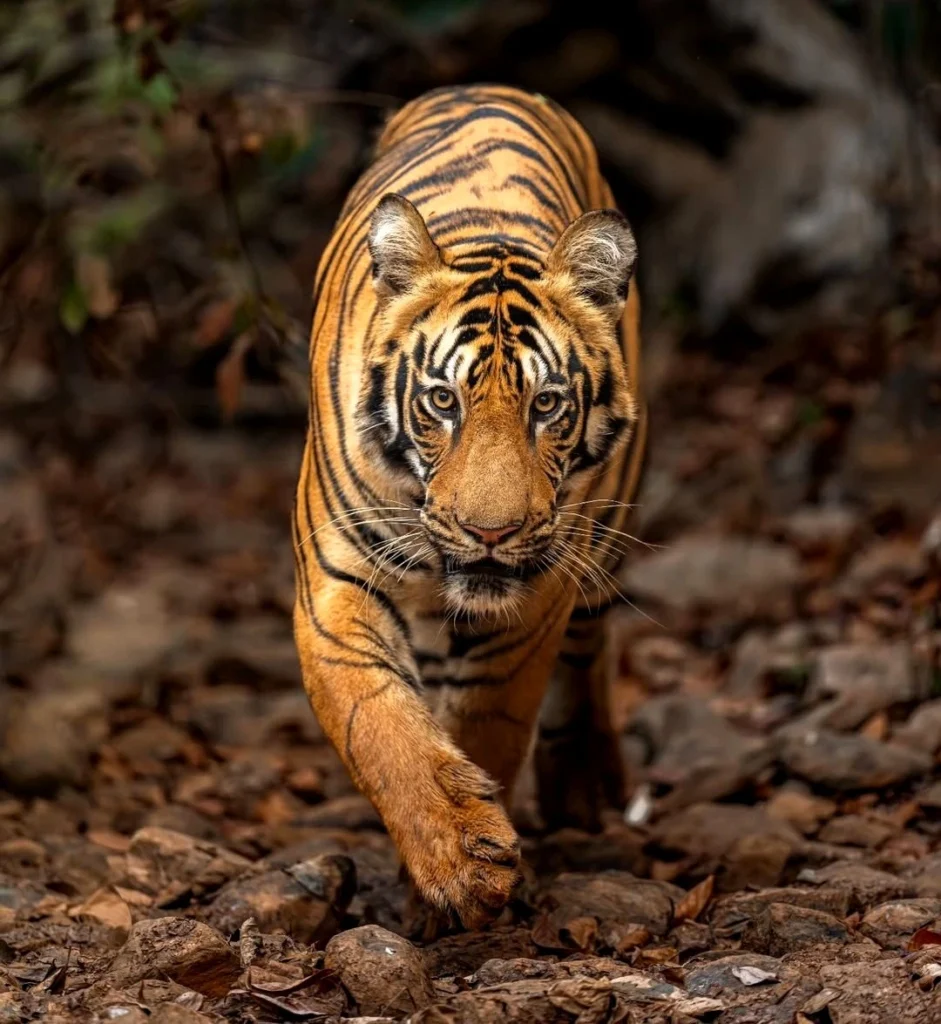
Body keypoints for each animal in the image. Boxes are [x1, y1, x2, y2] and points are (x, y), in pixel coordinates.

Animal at [294, 83, 647, 933]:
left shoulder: (535, 598)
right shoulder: (334, 584)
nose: (491, 531)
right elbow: (379, 723)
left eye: (546, 404)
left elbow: (488, 724)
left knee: (589, 649)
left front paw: (468, 872)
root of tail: (489, 87)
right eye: (441, 401)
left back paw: (587, 786)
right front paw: (456, 861)